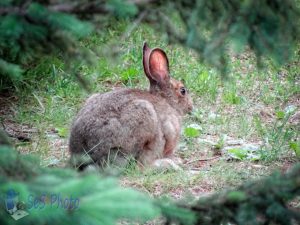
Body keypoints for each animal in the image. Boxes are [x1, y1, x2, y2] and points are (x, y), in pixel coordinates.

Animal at [69, 42, 193, 170]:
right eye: (183, 91)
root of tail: (83, 155)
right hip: (142, 118)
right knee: (139, 165)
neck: (166, 101)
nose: (191, 106)